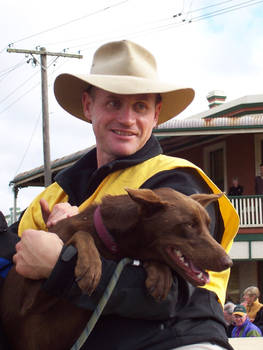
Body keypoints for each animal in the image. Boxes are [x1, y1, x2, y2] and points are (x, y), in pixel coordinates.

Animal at [0, 189, 233, 350]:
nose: (228, 262)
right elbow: (81, 234)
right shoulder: (29, 298)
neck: (109, 239)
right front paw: (90, 266)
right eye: (189, 225)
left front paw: (160, 275)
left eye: (207, 225)